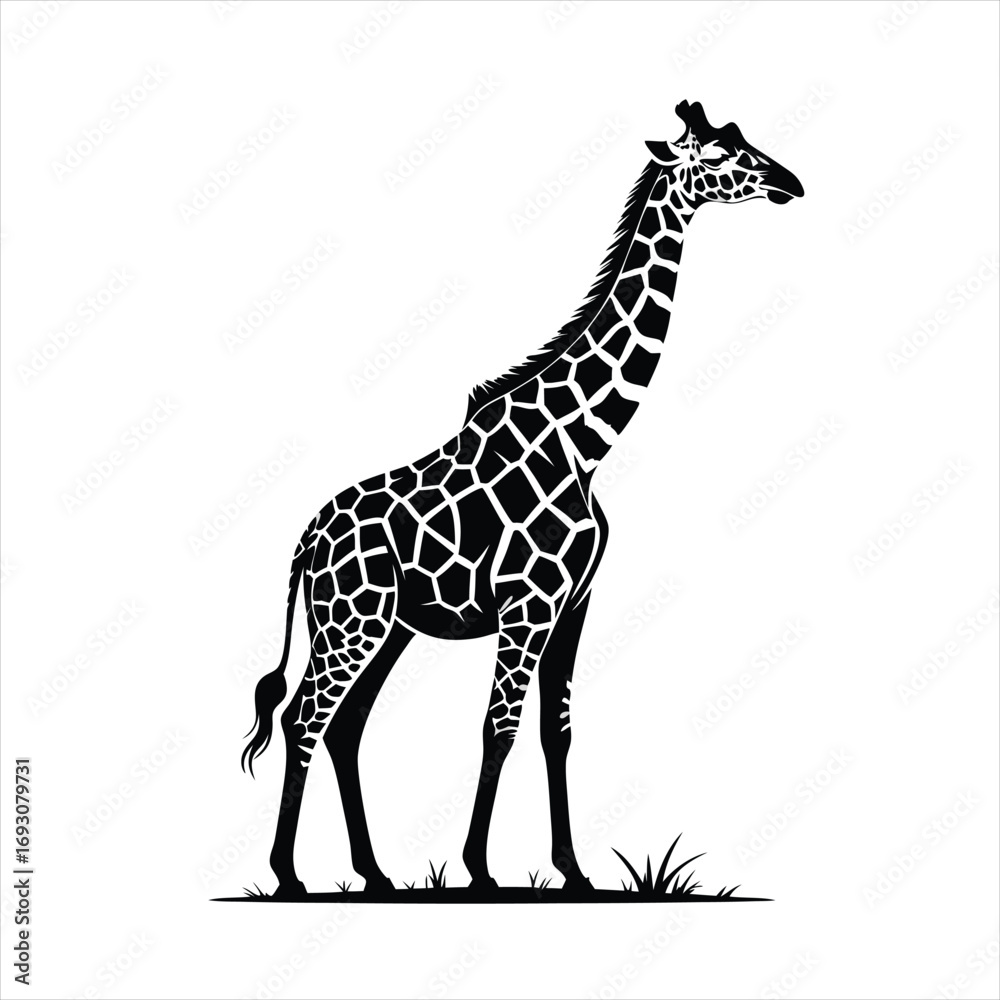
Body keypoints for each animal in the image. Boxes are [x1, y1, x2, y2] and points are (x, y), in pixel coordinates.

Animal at [241, 100, 803, 899]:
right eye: (722, 156)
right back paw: (288, 875)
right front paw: (480, 869)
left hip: (389, 626)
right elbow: (497, 728)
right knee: (306, 717)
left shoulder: (574, 603)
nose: (792, 183)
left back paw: (375, 874)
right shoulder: (527, 605)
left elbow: (554, 731)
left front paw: (573, 871)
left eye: (746, 140)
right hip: (353, 621)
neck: (586, 442)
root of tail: (305, 543)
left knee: (346, 725)